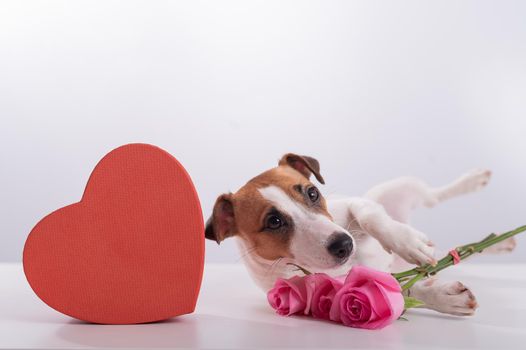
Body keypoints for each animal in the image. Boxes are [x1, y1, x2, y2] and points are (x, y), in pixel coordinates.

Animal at [204, 154, 516, 316]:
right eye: (274, 221)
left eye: (312, 193)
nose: (345, 243)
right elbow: (402, 288)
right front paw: (444, 296)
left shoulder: (353, 206)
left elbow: (369, 215)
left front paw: (407, 243)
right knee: (448, 249)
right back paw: (495, 243)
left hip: (403, 188)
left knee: (435, 196)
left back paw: (474, 183)